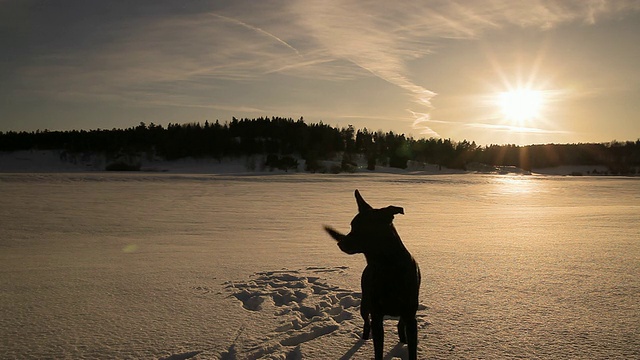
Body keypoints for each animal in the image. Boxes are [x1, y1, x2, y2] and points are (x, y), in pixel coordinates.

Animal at [324, 190, 420, 360]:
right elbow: (378, 349)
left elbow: (412, 350)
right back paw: (364, 337)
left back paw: (402, 339)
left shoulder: (410, 315)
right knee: (366, 321)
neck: (387, 267)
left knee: (400, 324)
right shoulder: (377, 315)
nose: (340, 243)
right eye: (352, 225)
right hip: (365, 303)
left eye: (364, 227)